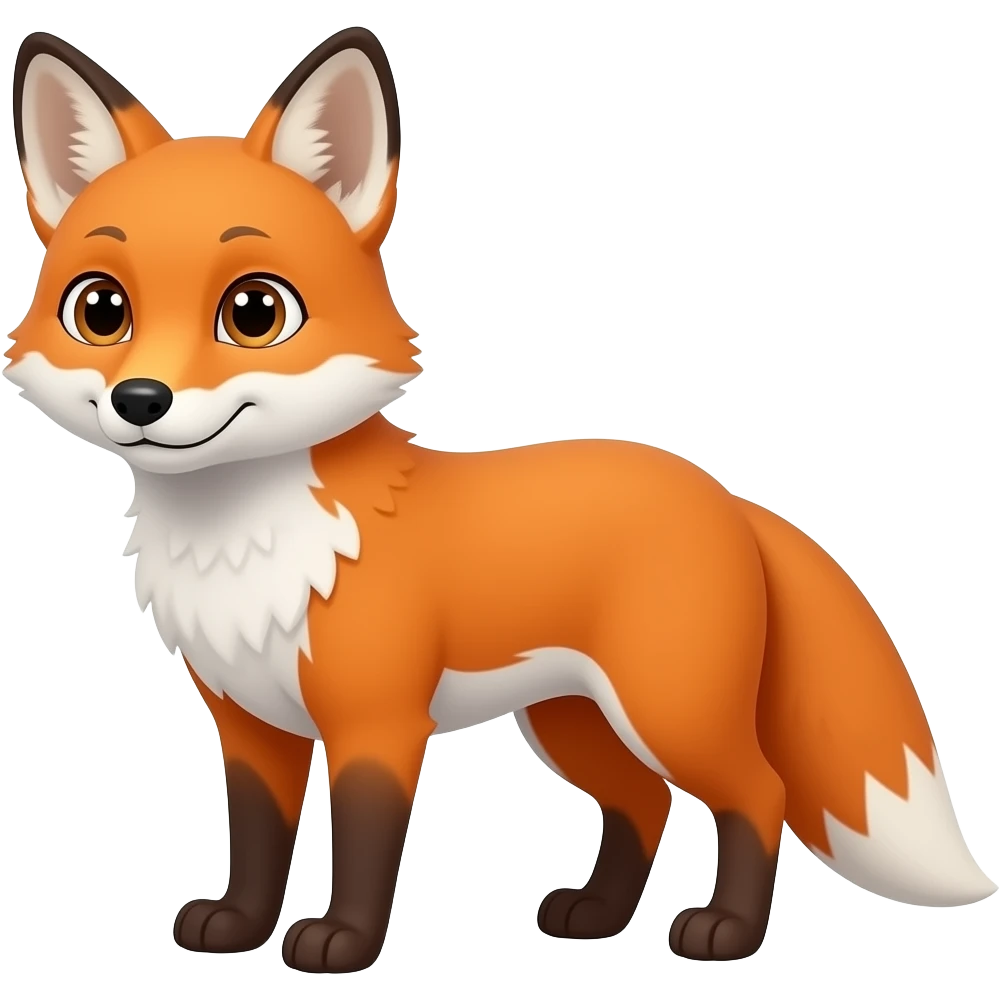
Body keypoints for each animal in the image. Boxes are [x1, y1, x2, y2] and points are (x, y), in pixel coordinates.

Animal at [4, 26, 997, 974]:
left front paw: (343, 943)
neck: (247, 546)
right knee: (643, 801)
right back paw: (595, 916)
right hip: (572, 720)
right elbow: (255, 843)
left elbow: (364, 847)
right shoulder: (250, 726)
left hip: (668, 708)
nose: (141, 401)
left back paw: (724, 932)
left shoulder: (377, 722)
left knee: (758, 793)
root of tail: (722, 492)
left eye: (254, 313)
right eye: (100, 310)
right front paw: (238, 926)